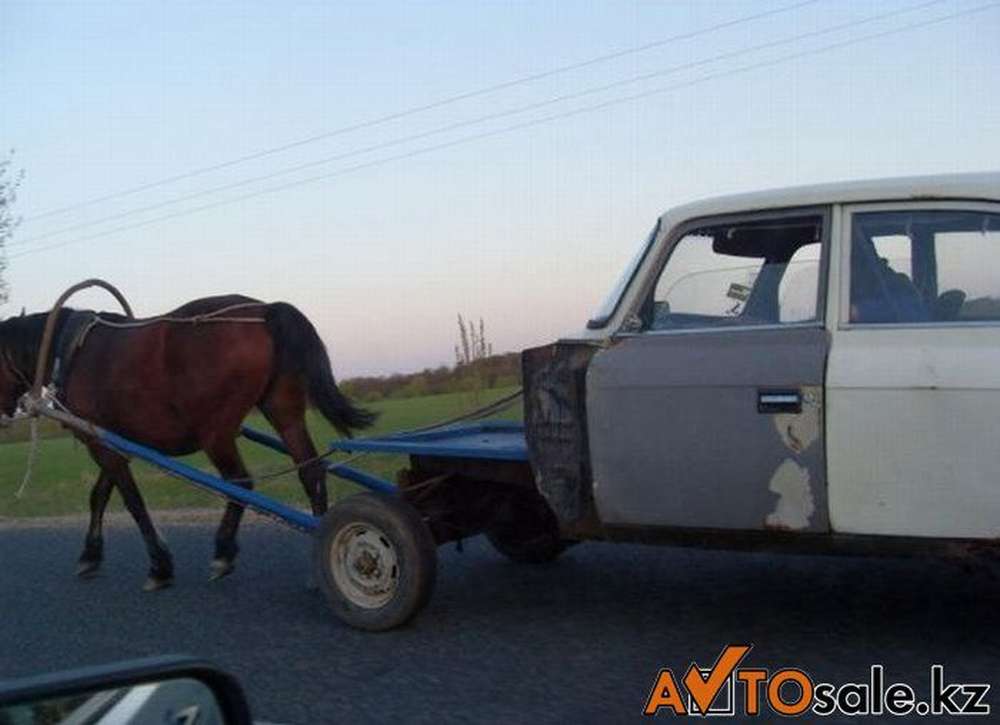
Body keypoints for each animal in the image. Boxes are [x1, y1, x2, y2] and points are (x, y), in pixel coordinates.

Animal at [0, 294, 374, 588]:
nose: (4, 413)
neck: (70, 352)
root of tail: (265, 310)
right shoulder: (112, 442)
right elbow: (100, 496)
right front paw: (90, 555)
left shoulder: (102, 444)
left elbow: (133, 502)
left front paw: (159, 566)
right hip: (284, 412)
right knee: (311, 473)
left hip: (216, 434)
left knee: (240, 482)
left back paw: (223, 551)